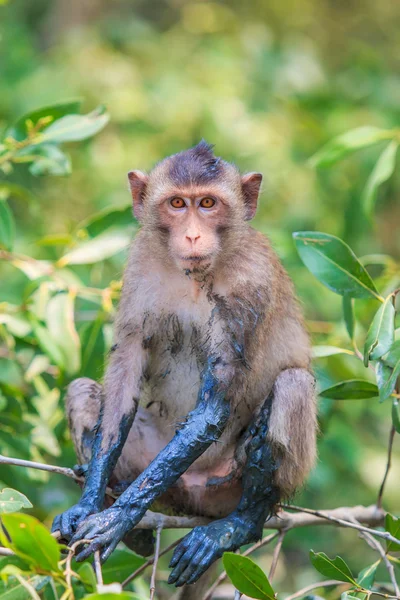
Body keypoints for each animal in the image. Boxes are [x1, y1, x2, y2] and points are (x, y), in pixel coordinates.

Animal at [52, 141, 316, 596]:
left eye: (208, 203)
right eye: (177, 204)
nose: (193, 234)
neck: (194, 276)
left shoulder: (250, 284)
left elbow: (212, 409)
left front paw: (117, 519)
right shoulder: (140, 263)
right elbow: (122, 382)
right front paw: (90, 506)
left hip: (226, 484)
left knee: (294, 383)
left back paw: (237, 525)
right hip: (165, 480)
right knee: (82, 388)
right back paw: (130, 519)